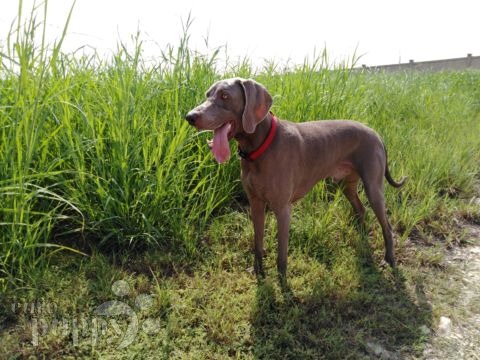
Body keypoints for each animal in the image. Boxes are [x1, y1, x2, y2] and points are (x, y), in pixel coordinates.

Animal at [186, 78, 406, 276]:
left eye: (225, 96)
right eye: (207, 95)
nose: (190, 117)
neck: (260, 145)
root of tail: (376, 133)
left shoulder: (283, 208)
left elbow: (281, 253)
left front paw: (282, 281)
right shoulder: (255, 202)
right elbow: (258, 240)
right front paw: (258, 271)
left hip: (373, 186)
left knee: (386, 226)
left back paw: (389, 259)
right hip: (347, 184)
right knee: (361, 209)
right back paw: (362, 238)